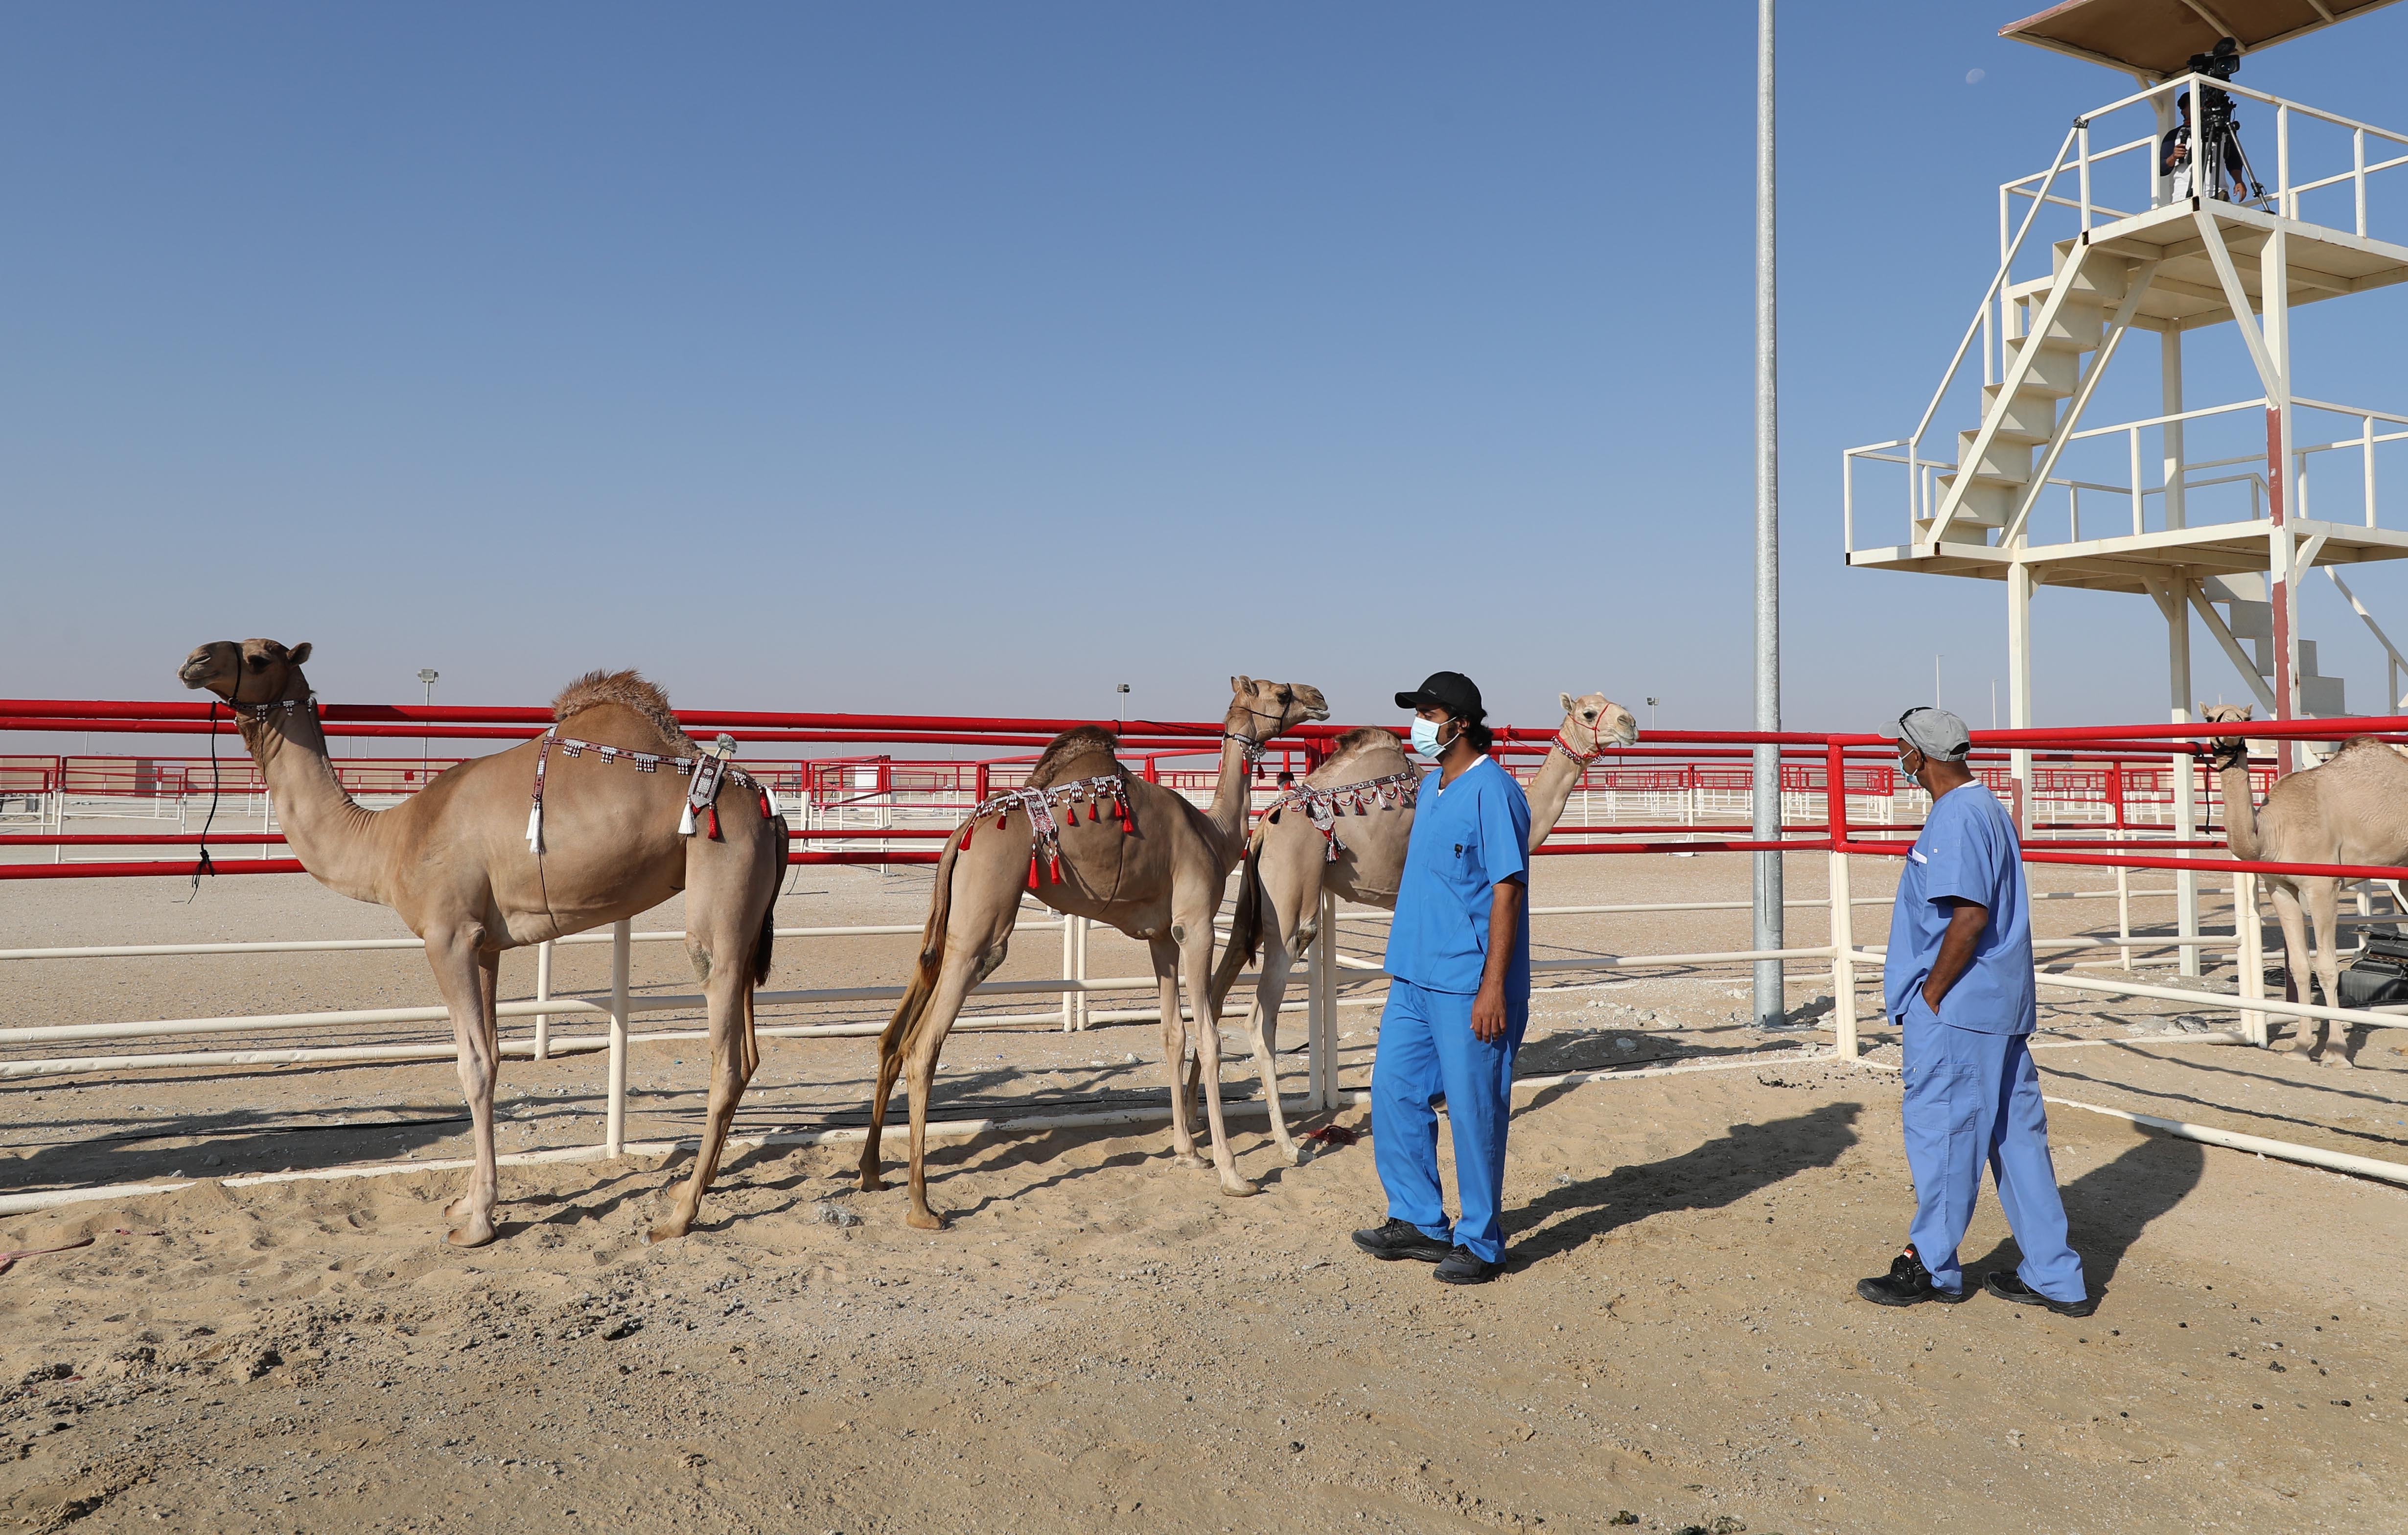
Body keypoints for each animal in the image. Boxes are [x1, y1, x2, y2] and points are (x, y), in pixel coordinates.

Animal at [181, 636, 780, 1243]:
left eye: (259, 657)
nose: (194, 660)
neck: (392, 839)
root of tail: (766, 806)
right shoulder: (486, 944)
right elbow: (492, 1053)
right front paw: (464, 1203)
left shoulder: (447, 936)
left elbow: (473, 1067)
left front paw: (479, 1222)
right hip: (750, 920)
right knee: (750, 1049)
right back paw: (684, 1190)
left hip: (720, 883)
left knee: (724, 1047)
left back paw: (679, 1217)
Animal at [857, 674, 1329, 1229]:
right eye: (1281, 694)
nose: (1319, 698)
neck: (1215, 834)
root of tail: (960, 832)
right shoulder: (1194, 927)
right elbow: (1210, 1037)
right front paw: (1233, 1174)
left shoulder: (1161, 937)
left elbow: (1173, 1034)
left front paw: (1187, 1152)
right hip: (982, 928)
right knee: (924, 1044)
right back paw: (921, 1203)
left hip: (950, 924)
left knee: (895, 1032)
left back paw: (872, 1173)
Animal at [1213, 689, 1647, 1157]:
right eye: (1589, 711)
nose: (1630, 724)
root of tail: (1264, 826)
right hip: (1291, 908)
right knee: (1260, 1018)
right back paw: (1287, 1146)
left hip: (1254, 904)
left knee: (1219, 984)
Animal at [2205, 698, 2408, 1065]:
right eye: (2211, 717)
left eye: (2245, 718)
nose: (2229, 733)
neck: (2271, 833)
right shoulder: (2280, 887)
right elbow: (2299, 966)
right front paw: (2300, 1048)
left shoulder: (2322, 886)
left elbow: (2327, 967)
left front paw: (2337, 1052)